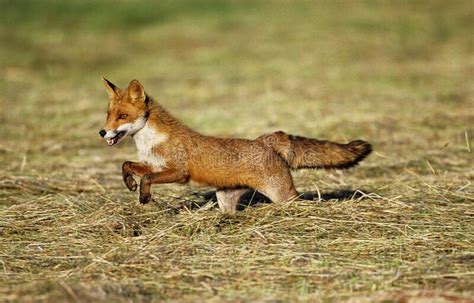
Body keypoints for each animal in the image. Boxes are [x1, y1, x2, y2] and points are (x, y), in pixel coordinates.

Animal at [100, 79, 372, 211]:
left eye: (122, 116)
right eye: (108, 115)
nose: (102, 132)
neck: (150, 143)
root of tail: (267, 139)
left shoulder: (178, 172)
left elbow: (147, 179)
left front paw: (143, 195)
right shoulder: (151, 164)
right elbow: (127, 165)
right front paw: (130, 183)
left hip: (283, 196)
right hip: (225, 199)